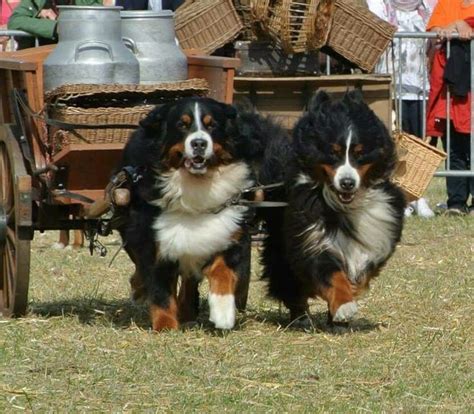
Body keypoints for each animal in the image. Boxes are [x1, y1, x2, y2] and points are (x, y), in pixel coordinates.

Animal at [262, 90, 406, 326]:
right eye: (333, 152)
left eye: (359, 153)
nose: (347, 183)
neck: (342, 206)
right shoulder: (311, 236)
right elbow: (330, 272)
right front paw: (344, 305)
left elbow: (360, 267)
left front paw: (350, 293)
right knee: (288, 281)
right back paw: (301, 317)